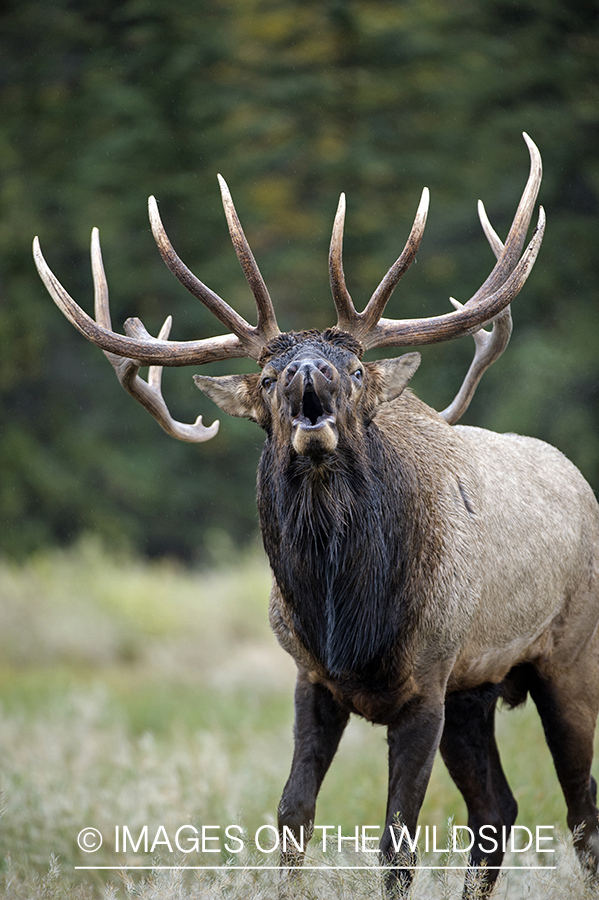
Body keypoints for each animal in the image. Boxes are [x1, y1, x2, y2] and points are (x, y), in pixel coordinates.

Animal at [34, 135, 599, 900]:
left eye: (354, 369)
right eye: (268, 378)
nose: (310, 373)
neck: (347, 618)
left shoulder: (427, 680)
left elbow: (396, 842)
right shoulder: (313, 679)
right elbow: (292, 815)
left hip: (568, 658)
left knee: (579, 810)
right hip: (478, 689)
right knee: (498, 810)